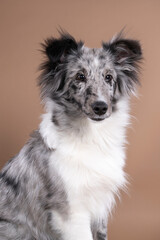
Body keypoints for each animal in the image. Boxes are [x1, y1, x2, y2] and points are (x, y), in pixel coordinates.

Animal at [0, 31, 142, 240]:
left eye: (108, 77)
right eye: (80, 77)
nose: (100, 107)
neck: (91, 138)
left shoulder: (99, 205)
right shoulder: (71, 211)